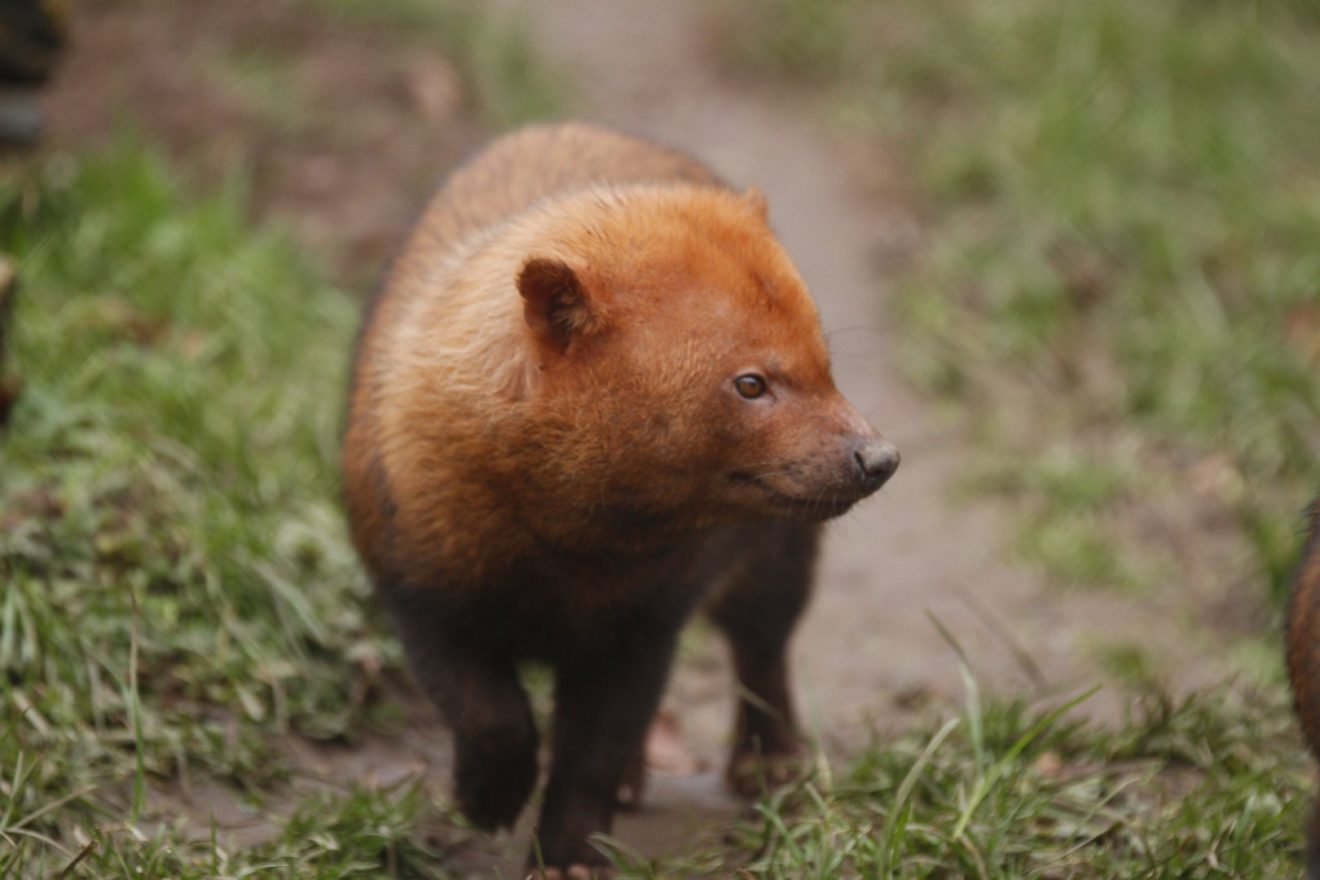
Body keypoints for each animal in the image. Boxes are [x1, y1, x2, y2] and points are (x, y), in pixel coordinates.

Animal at [340, 122, 897, 876]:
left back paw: (769, 765)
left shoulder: (645, 624)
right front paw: (486, 802)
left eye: (825, 362)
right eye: (750, 383)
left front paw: (570, 858)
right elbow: (490, 715)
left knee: (763, 648)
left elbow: (591, 755)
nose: (878, 458)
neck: (564, 557)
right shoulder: (418, 594)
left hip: (778, 556)